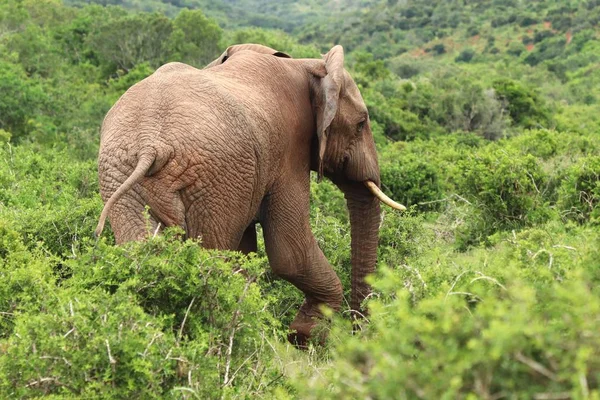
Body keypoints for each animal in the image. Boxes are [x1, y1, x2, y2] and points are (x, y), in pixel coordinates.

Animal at [96, 43, 406, 344]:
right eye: (361, 124)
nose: (358, 332)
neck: (308, 66)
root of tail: (150, 144)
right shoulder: (289, 152)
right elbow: (289, 253)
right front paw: (305, 338)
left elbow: (246, 254)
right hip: (213, 180)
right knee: (214, 255)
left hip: (124, 173)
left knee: (142, 249)